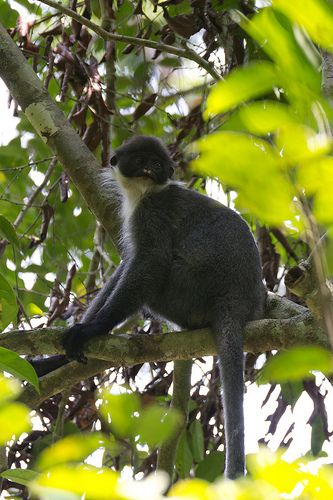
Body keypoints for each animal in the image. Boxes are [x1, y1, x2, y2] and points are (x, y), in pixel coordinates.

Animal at [61, 135, 264, 478]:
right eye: (141, 160)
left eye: (156, 164)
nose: (149, 169)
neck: (144, 193)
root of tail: (235, 300)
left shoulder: (152, 213)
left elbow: (152, 261)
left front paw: (92, 329)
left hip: (187, 291)